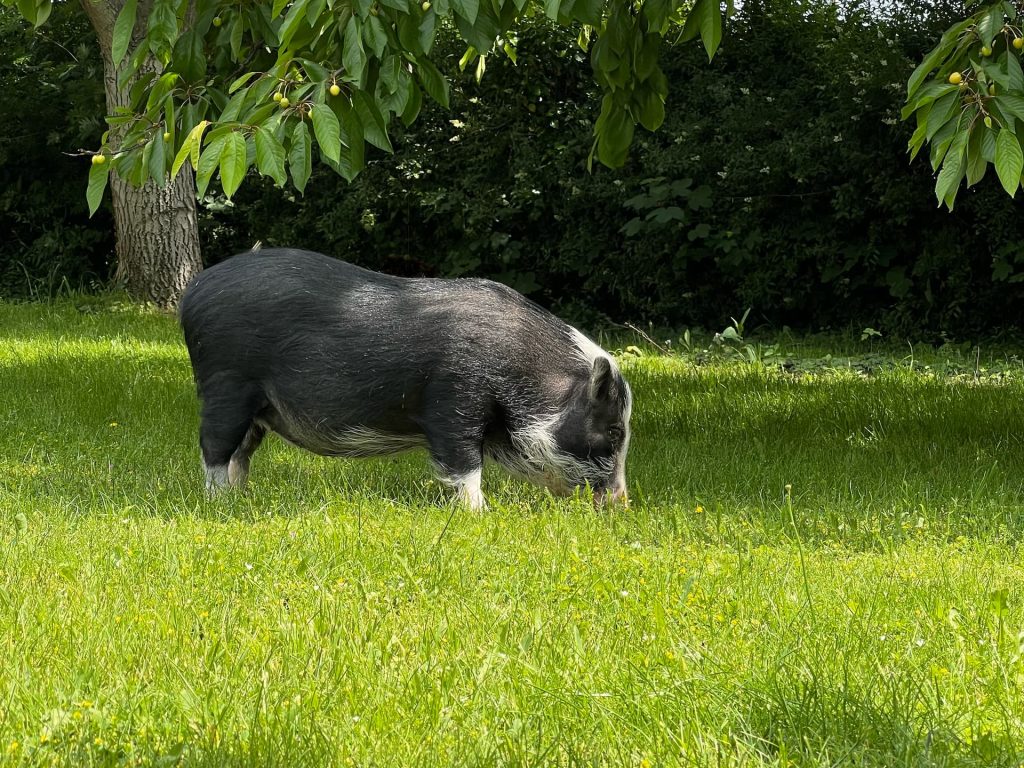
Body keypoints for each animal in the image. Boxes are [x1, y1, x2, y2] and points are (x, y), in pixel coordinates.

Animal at [178, 248, 632, 508]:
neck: (522, 369)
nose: (621, 503)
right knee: (214, 446)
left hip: (257, 408)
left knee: (242, 453)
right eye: (612, 432)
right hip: (226, 384)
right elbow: (464, 464)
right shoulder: (455, 401)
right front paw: (480, 513)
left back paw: (242, 497)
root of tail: (194, 290)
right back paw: (220, 503)